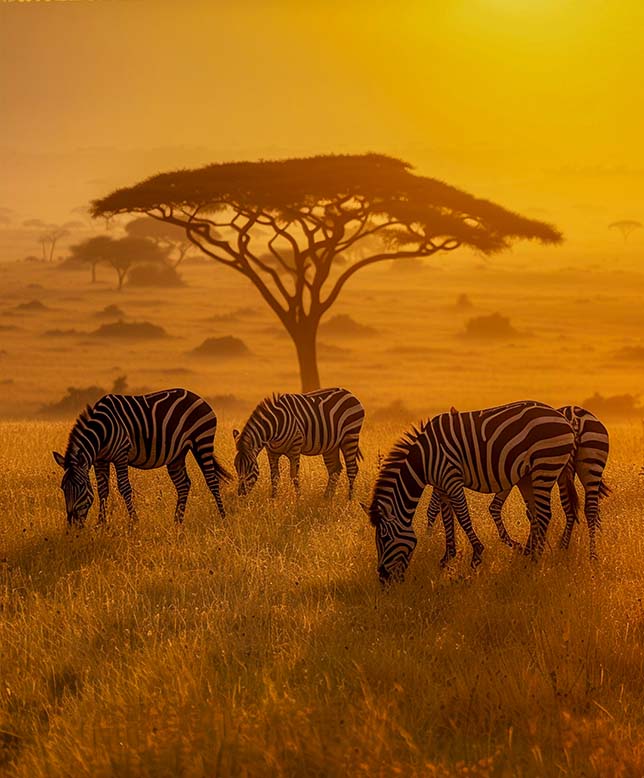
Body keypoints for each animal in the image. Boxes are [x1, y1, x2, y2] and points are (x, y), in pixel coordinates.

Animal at [53, 388, 230, 527]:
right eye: (63, 488)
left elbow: (124, 487)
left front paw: (133, 522)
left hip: (202, 439)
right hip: (177, 454)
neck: (102, 431)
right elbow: (102, 489)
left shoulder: (121, 454)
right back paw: (177, 522)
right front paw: (101, 524)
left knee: (212, 480)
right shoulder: (100, 460)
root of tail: (198, 397)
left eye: (81, 486)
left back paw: (223, 518)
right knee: (183, 484)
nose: (73, 525)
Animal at [233, 387, 364, 498]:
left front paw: (298, 500)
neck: (274, 428)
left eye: (250, 467)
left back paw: (349, 501)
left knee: (352, 469)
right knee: (335, 469)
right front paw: (273, 500)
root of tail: (349, 393)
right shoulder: (272, 452)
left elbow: (294, 476)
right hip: (331, 445)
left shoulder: (295, 448)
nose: (240, 493)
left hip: (350, 436)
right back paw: (327, 498)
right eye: (236, 466)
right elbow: (274, 477)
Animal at [363, 401, 576, 584]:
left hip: (545, 467)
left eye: (384, 539)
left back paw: (534, 559)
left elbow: (463, 517)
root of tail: (563, 418)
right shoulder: (441, 486)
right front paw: (446, 559)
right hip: (529, 476)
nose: (382, 579)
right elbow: (447, 520)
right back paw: (528, 556)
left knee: (544, 514)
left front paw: (476, 556)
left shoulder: (452, 479)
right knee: (536, 515)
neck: (423, 460)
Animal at [426, 405, 610, 561]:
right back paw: (583, 552)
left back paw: (575, 550)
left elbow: (497, 508)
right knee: (583, 508)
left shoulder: (510, 478)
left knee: (572, 508)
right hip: (583, 467)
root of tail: (575, 416)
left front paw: (526, 548)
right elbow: (526, 512)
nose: (428, 534)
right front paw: (530, 547)